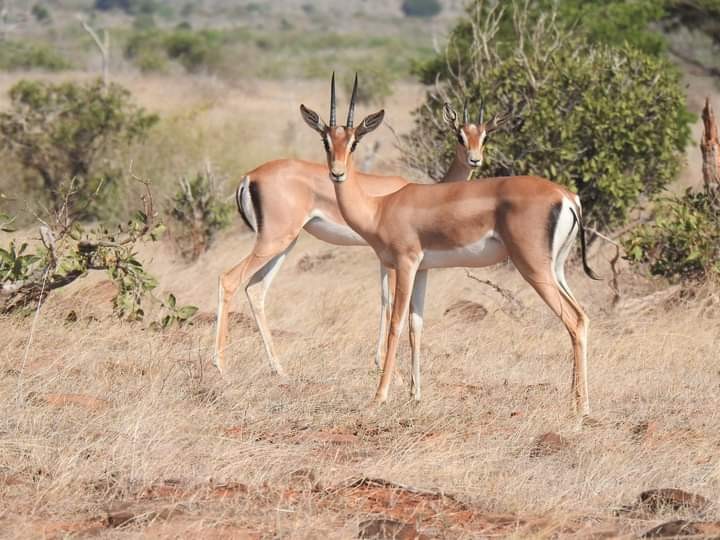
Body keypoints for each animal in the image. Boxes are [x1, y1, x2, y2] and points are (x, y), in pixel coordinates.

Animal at [213, 75, 495, 378]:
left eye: (484, 136)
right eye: (459, 136)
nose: (475, 159)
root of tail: (249, 176)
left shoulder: (383, 258)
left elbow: (383, 299)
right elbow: (392, 303)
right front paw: (391, 372)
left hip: (285, 243)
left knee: (255, 290)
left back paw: (279, 369)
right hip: (273, 240)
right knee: (229, 280)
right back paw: (220, 365)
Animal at [300, 74, 600, 417]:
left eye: (354, 142)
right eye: (326, 141)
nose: (336, 173)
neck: (380, 208)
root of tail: (567, 196)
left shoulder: (405, 264)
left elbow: (396, 323)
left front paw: (380, 396)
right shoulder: (423, 269)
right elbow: (416, 325)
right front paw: (415, 395)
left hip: (534, 268)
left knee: (573, 320)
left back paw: (581, 408)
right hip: (557, 269)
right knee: (583, 317)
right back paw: (576, 402)